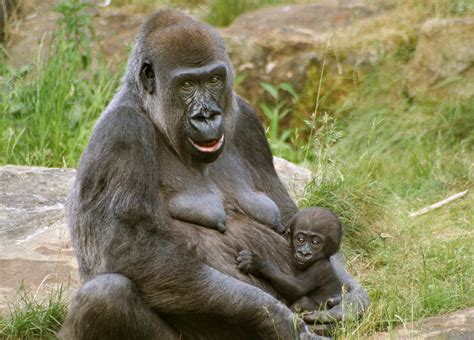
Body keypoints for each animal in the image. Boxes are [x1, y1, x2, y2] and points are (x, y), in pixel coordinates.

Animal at [60, 9, 370, 338]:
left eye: (213, 79)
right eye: (186, 85)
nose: (207, 115)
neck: (154, 116)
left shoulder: (247, 120)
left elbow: (290, 216)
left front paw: (352, 299)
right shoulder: (121, 133)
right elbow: (131, 251)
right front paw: (277, 317)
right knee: (105, 294)